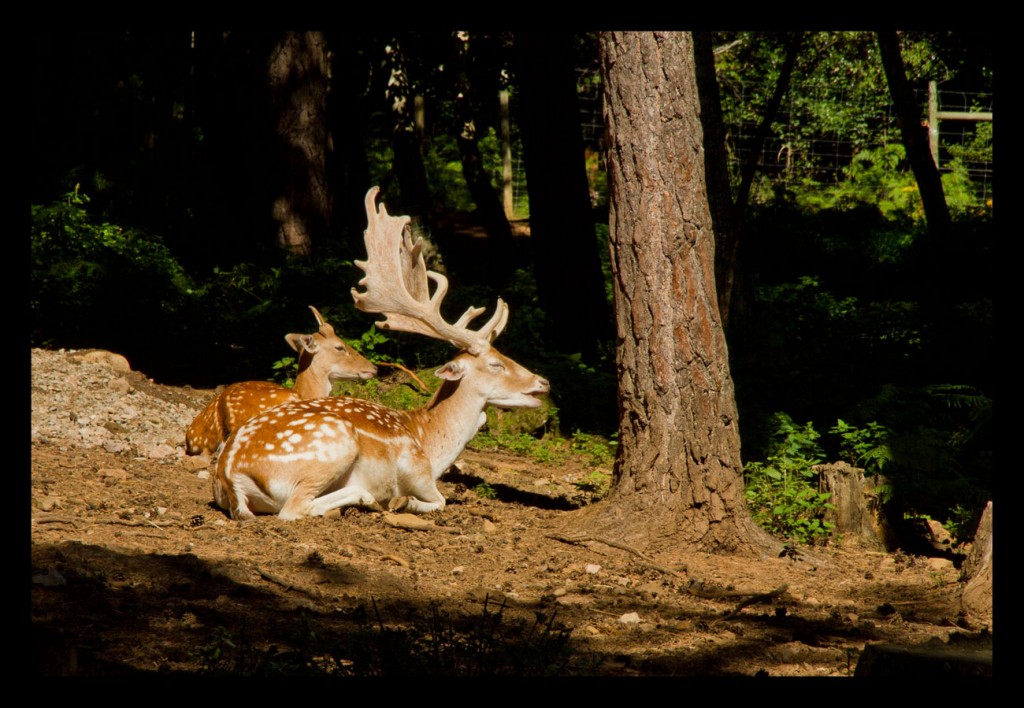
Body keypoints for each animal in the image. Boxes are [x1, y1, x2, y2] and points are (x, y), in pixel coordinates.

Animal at [214, 188, 552, 520]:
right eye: (496, 364)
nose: (543, 382)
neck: (429, 442)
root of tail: (231, 475)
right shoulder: (416, 469)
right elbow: (440, 500)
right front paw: (403, 502)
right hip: (334, 444)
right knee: (292, 509)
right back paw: (367, 499)